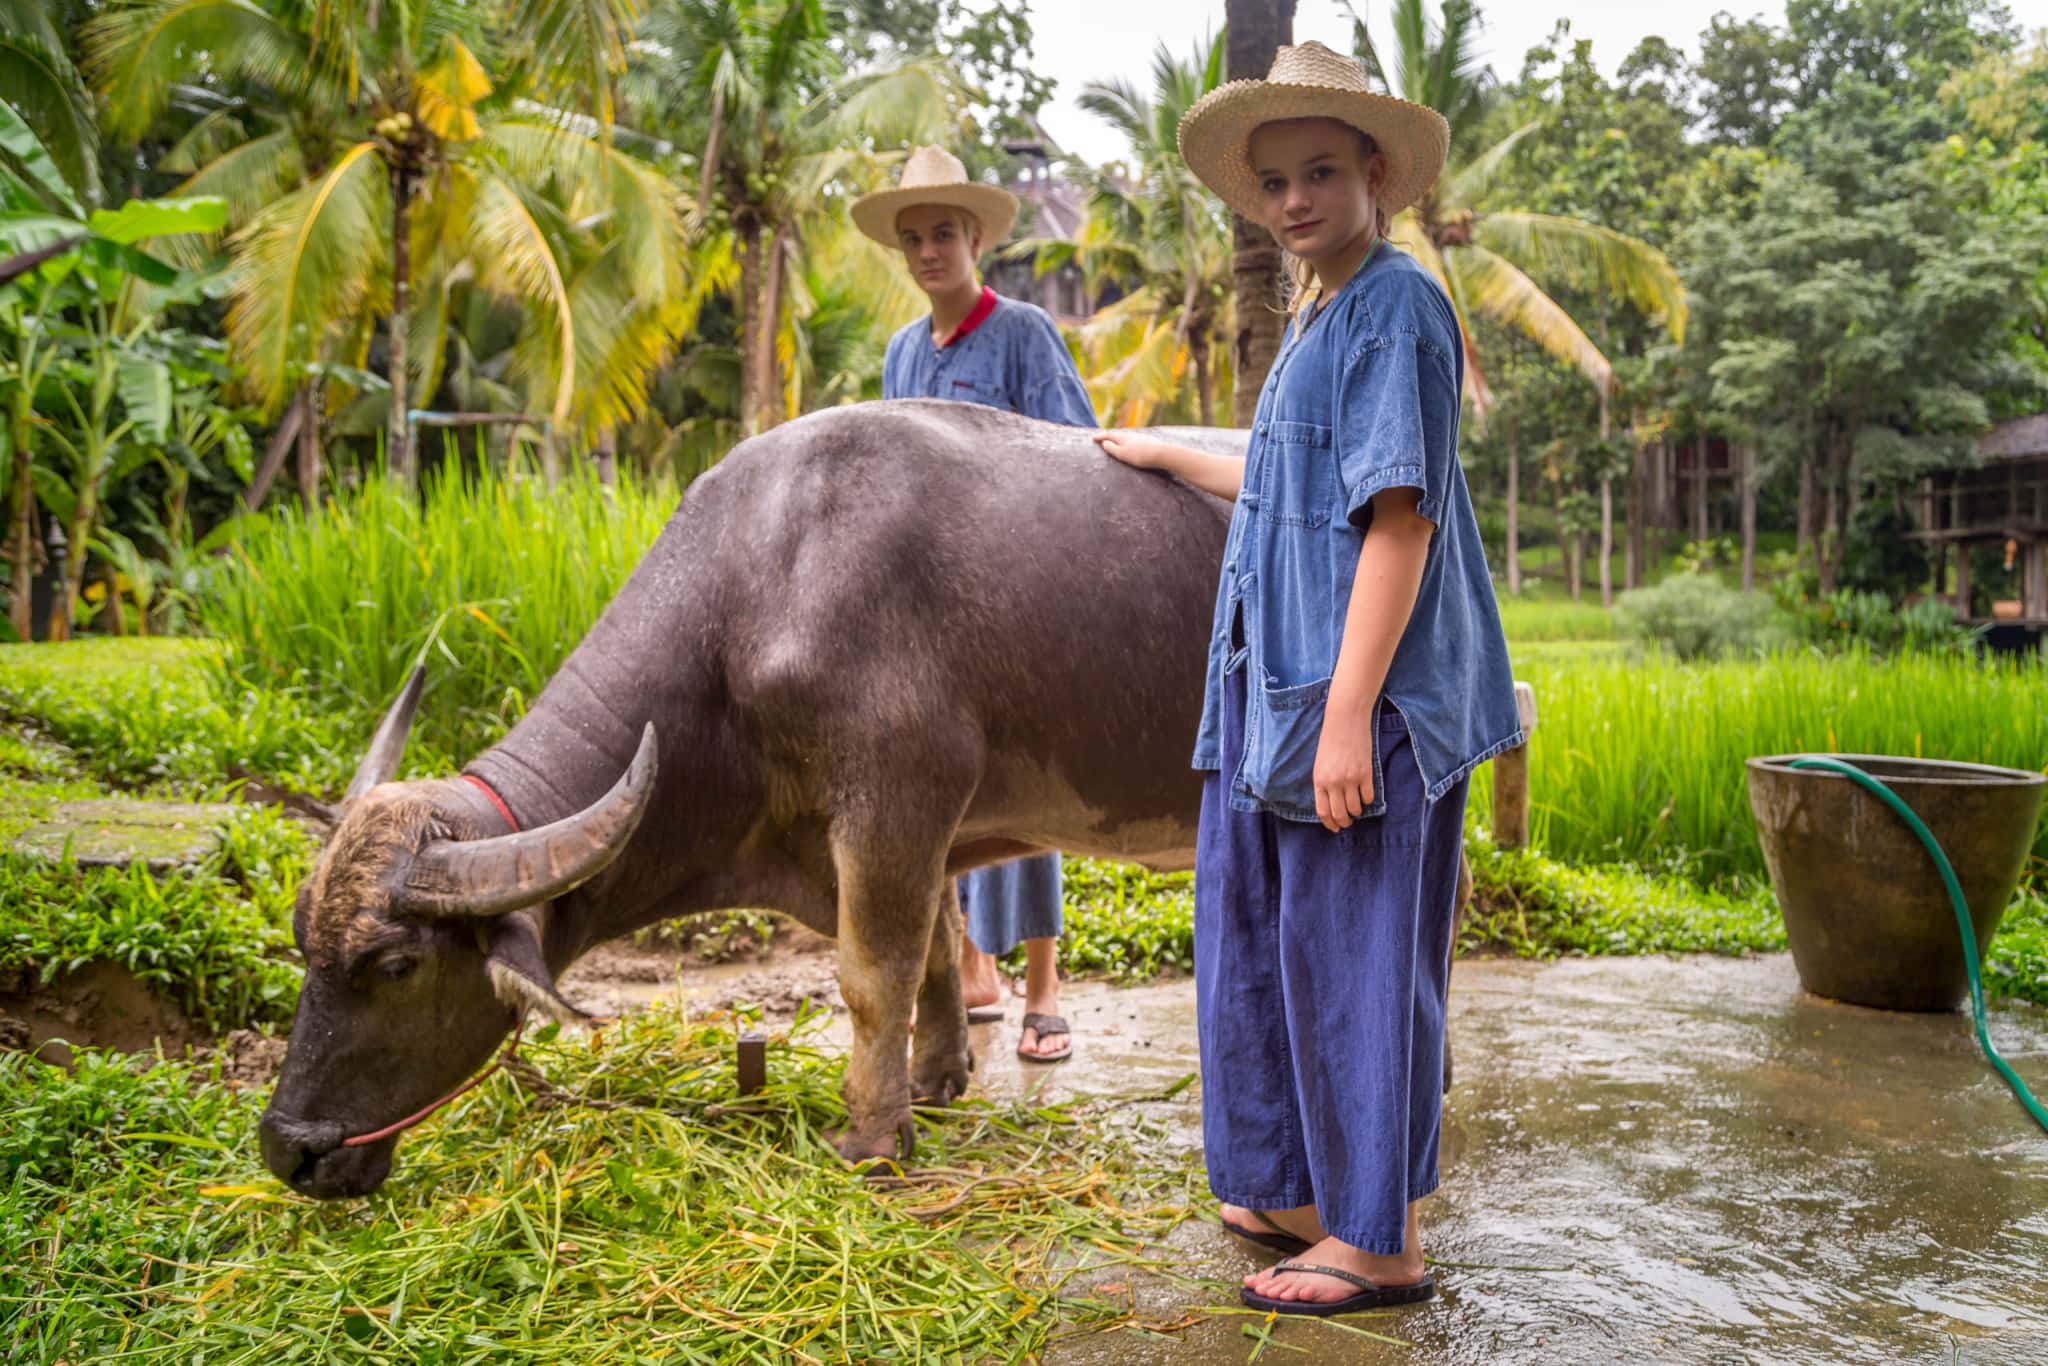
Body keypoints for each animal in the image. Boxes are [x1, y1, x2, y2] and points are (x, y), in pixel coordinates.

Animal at [256, 397, 1245, 1196]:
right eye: (302, 943)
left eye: (396, 967)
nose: (287, 1149)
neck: (751, 603)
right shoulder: (916, 836)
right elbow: (934, 950)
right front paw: (934, 1085)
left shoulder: (894, 802)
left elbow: (872, 977)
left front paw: (870, 1140)